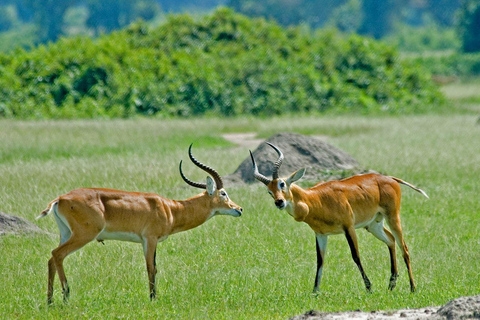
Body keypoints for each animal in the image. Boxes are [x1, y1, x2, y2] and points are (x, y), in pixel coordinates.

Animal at [36, 144, 244, 304]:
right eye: (223, 193)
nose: (239, 209)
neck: (171, 209)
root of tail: (61, 199)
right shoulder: (150, 238)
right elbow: (151, 268)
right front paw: (153, 299)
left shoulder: (149, 241)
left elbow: (154, 267)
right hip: (83, 235)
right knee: (57, 254)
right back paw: (66, 296)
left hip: (66, 233)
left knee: (51, 259)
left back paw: (50, 300)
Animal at [251, 144, 428, 294]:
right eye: (269, 191)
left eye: (282, 184)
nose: (279, 202)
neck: (316, 199)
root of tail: (390, 178)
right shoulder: (321, 234)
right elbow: (320, 261)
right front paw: (315, 292)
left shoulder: (348, 227)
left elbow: (356, 256)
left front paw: (369, 287)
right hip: (373, 225)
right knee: (391, 241)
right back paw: (391, 285)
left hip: (392, 217)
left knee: (404, 247)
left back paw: (413, 288)